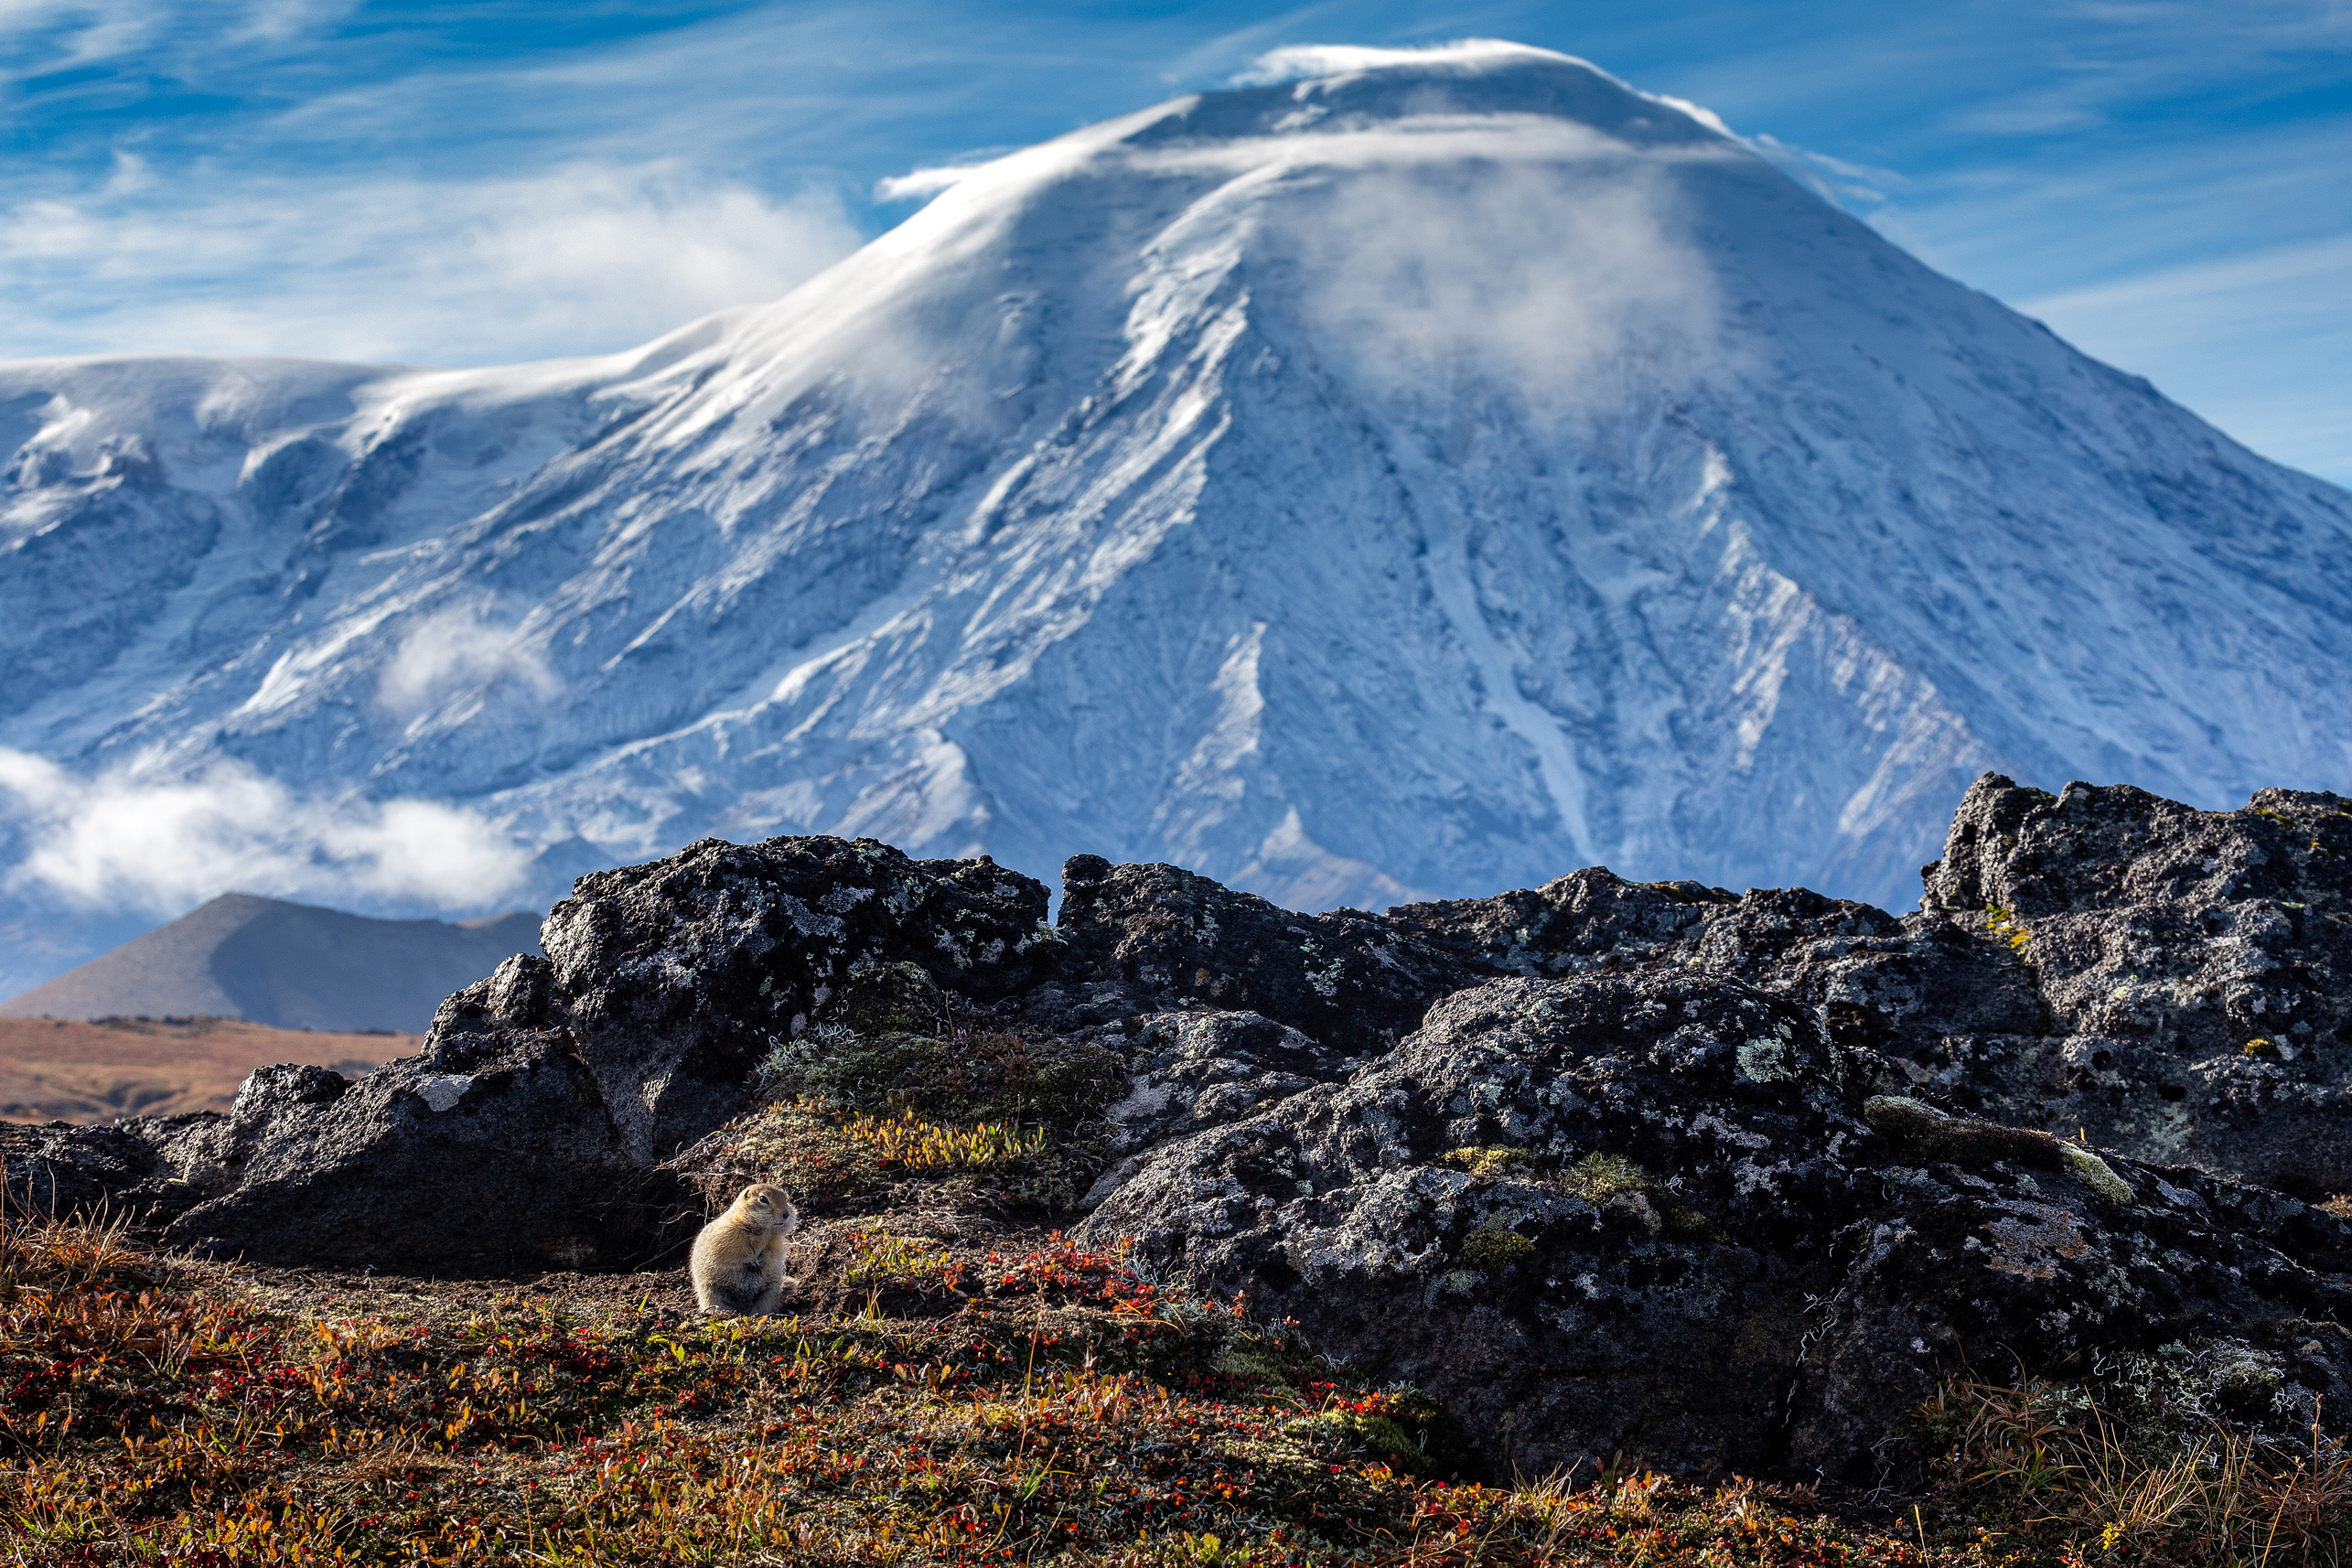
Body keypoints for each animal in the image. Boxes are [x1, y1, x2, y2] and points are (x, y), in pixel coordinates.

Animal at [686, 1185, 800, 1316]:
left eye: (785, 1198)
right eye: (763, 1199)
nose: (787, 1214)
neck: (762, 1231)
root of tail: (743, 1310)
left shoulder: (774, 1242)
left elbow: (771, 1253)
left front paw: (763, 1261)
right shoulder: (728, 1234)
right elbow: (736, 1249)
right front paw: (752, 1261)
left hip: (770, 1292)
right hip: (710, 1292)